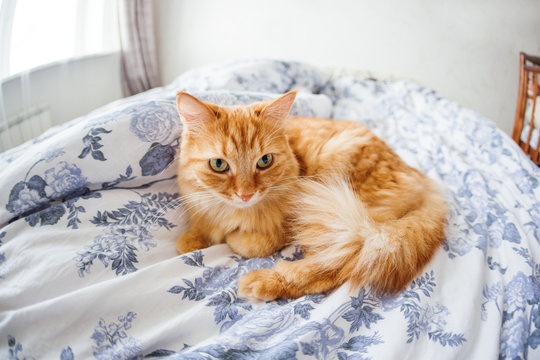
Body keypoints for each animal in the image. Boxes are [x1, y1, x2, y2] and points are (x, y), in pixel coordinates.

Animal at [174, 90, 448, 300]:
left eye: (264, 161)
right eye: (219, 165)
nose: (246, 194)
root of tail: (423, 180)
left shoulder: (287, 224)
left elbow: (252, 244)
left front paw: (232, 237)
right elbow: (193, 234)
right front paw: (193, 240)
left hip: (354, 220)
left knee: (337, 265)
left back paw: (264, 281)